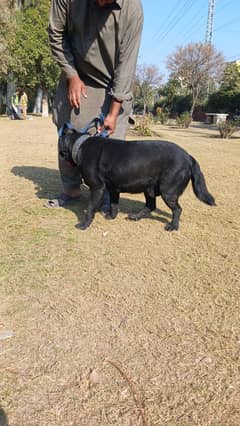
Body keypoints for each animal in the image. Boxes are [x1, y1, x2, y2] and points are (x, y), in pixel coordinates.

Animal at [58, 126, 216, 231]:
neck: (80, 146)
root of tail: (188, 157)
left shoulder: (97, 188)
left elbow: (90, 208)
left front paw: (83, 225)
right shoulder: (113, 189)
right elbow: (114, 205)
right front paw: (112, 216)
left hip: (168, 191)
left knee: (177, 209)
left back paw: (173, 226)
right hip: (149, 188)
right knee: (151, 205)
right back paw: (135, 216)